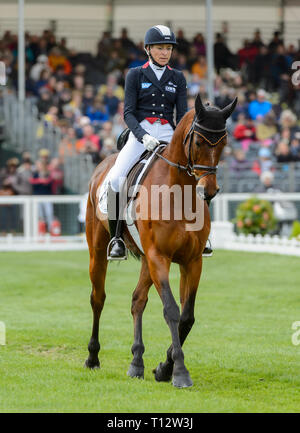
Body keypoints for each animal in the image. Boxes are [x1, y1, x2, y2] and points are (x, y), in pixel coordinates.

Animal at [84, 93, 237, 384]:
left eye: (223, 143)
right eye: (198, 142)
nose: (209, 190)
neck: (179, 194)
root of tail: (102, 165)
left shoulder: (191, 261)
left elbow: (187, 316)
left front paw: (163, 368)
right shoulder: (160, 257)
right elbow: (171, 310)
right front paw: (179, 372)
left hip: (147, 261)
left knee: (137, 301)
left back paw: (136, 362)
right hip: (99, 251)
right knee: (98, 298)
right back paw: (93, 357)